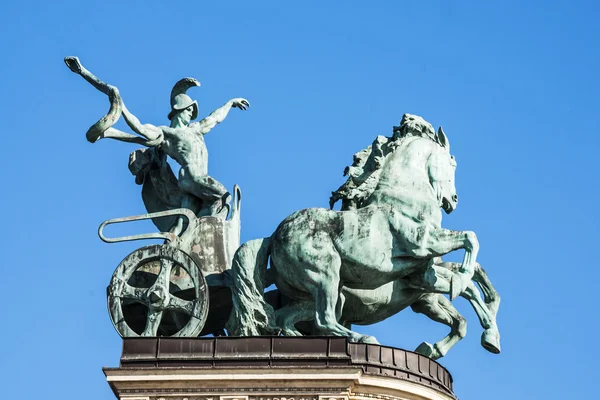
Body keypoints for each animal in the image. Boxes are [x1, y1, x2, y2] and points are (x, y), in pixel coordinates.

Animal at [227, 120, 480, 342]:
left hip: (316, 293)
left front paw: (459, 286)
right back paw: (361, 337)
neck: (404, 196)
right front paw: (461, 279)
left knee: (285, 318)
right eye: (452, 164)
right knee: (323, 319)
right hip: (326, 275)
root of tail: (271, 238)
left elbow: (456, 272)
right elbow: (470, 238)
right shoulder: (423, 242)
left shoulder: (421, 277)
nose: (453, 200)